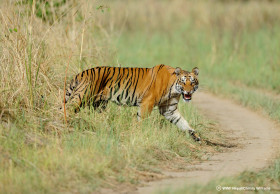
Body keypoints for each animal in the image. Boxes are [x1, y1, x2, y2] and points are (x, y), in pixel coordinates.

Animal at [63, 65, 200, 141]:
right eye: (183, 82)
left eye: (192, 82)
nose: (188, 92)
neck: (174, 89)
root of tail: (81, 73)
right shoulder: (147, 103)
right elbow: (142, 120)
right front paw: (141, 134)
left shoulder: (169, 109)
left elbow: (182, 121)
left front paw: (195, 135)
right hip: (82, 97)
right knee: (67, 109)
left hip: (98, 104)